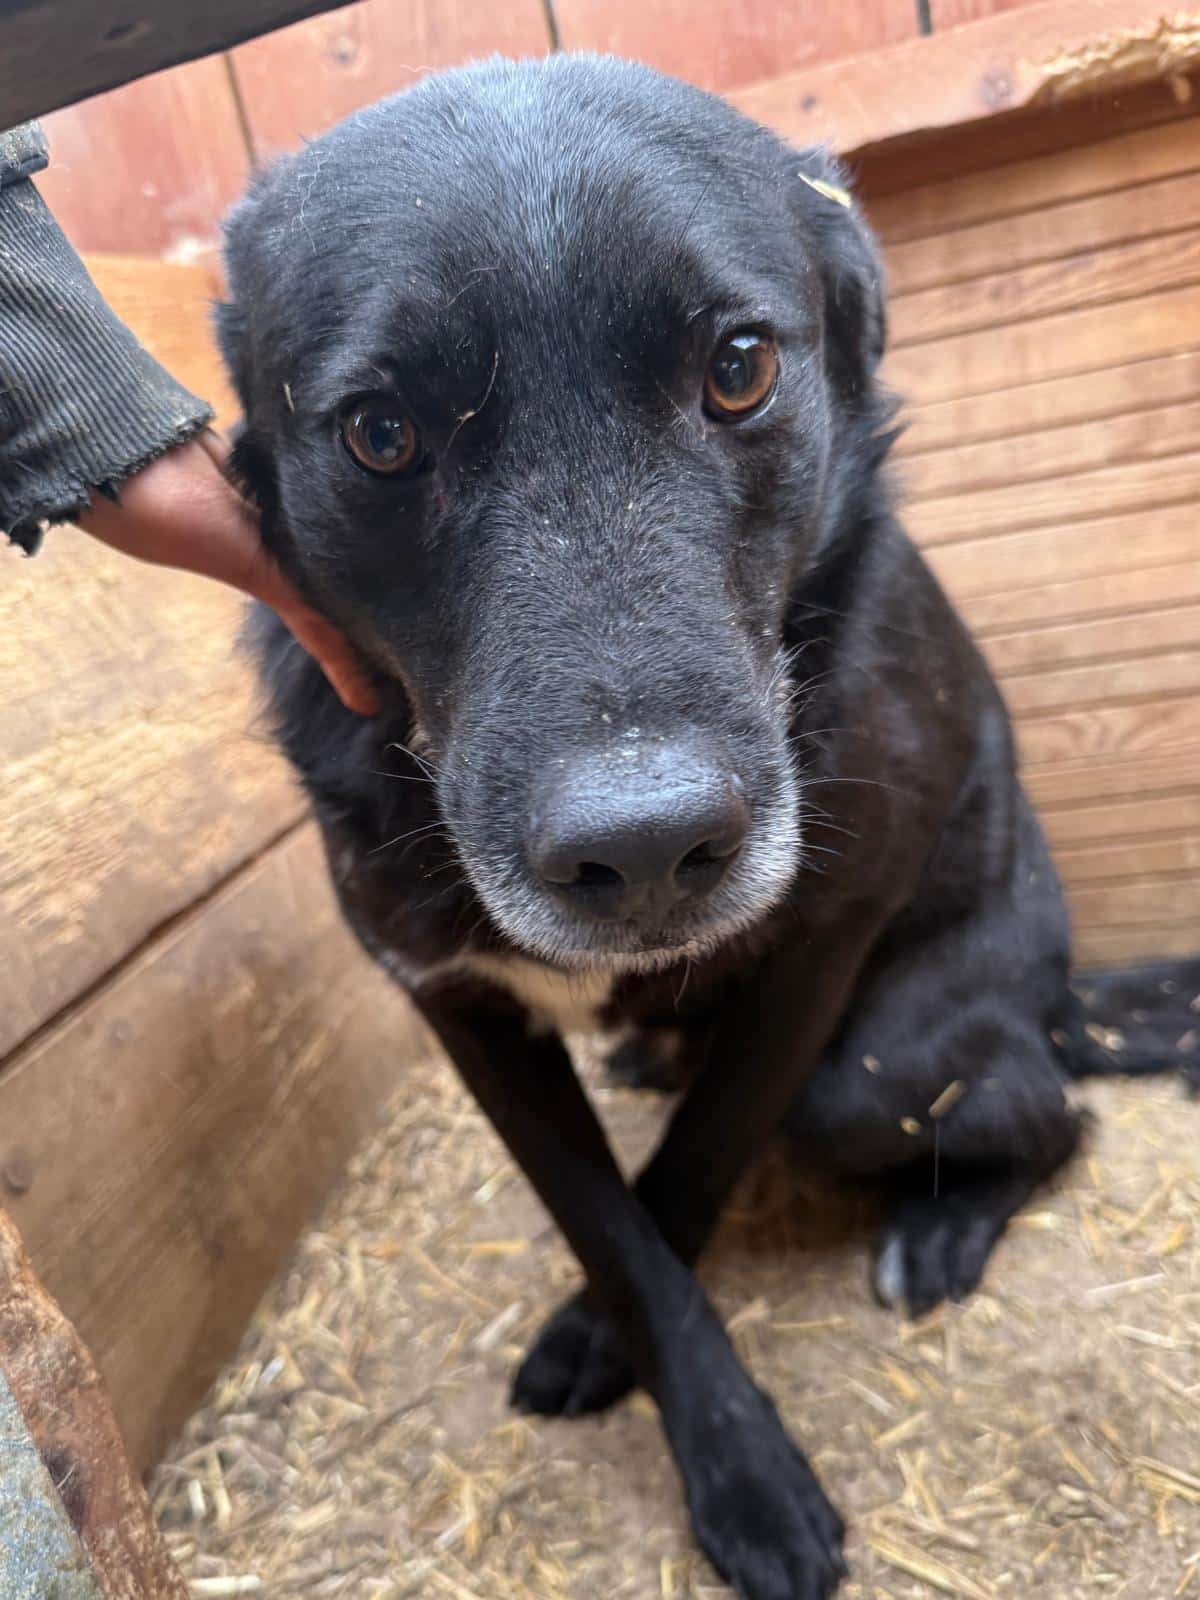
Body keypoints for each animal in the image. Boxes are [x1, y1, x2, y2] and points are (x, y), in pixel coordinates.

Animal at [218, 55, 1195, 1600]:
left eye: (738, 369)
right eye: (380, 433)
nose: (643, 851)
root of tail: (1059, 994)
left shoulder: (814, 962)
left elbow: (685, 1175)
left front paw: (686, 1421)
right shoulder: (455, 1002)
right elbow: (608, 1223)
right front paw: (703, 1426)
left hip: (876, 1068)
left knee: (1052, 1113)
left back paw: (944, 1222)